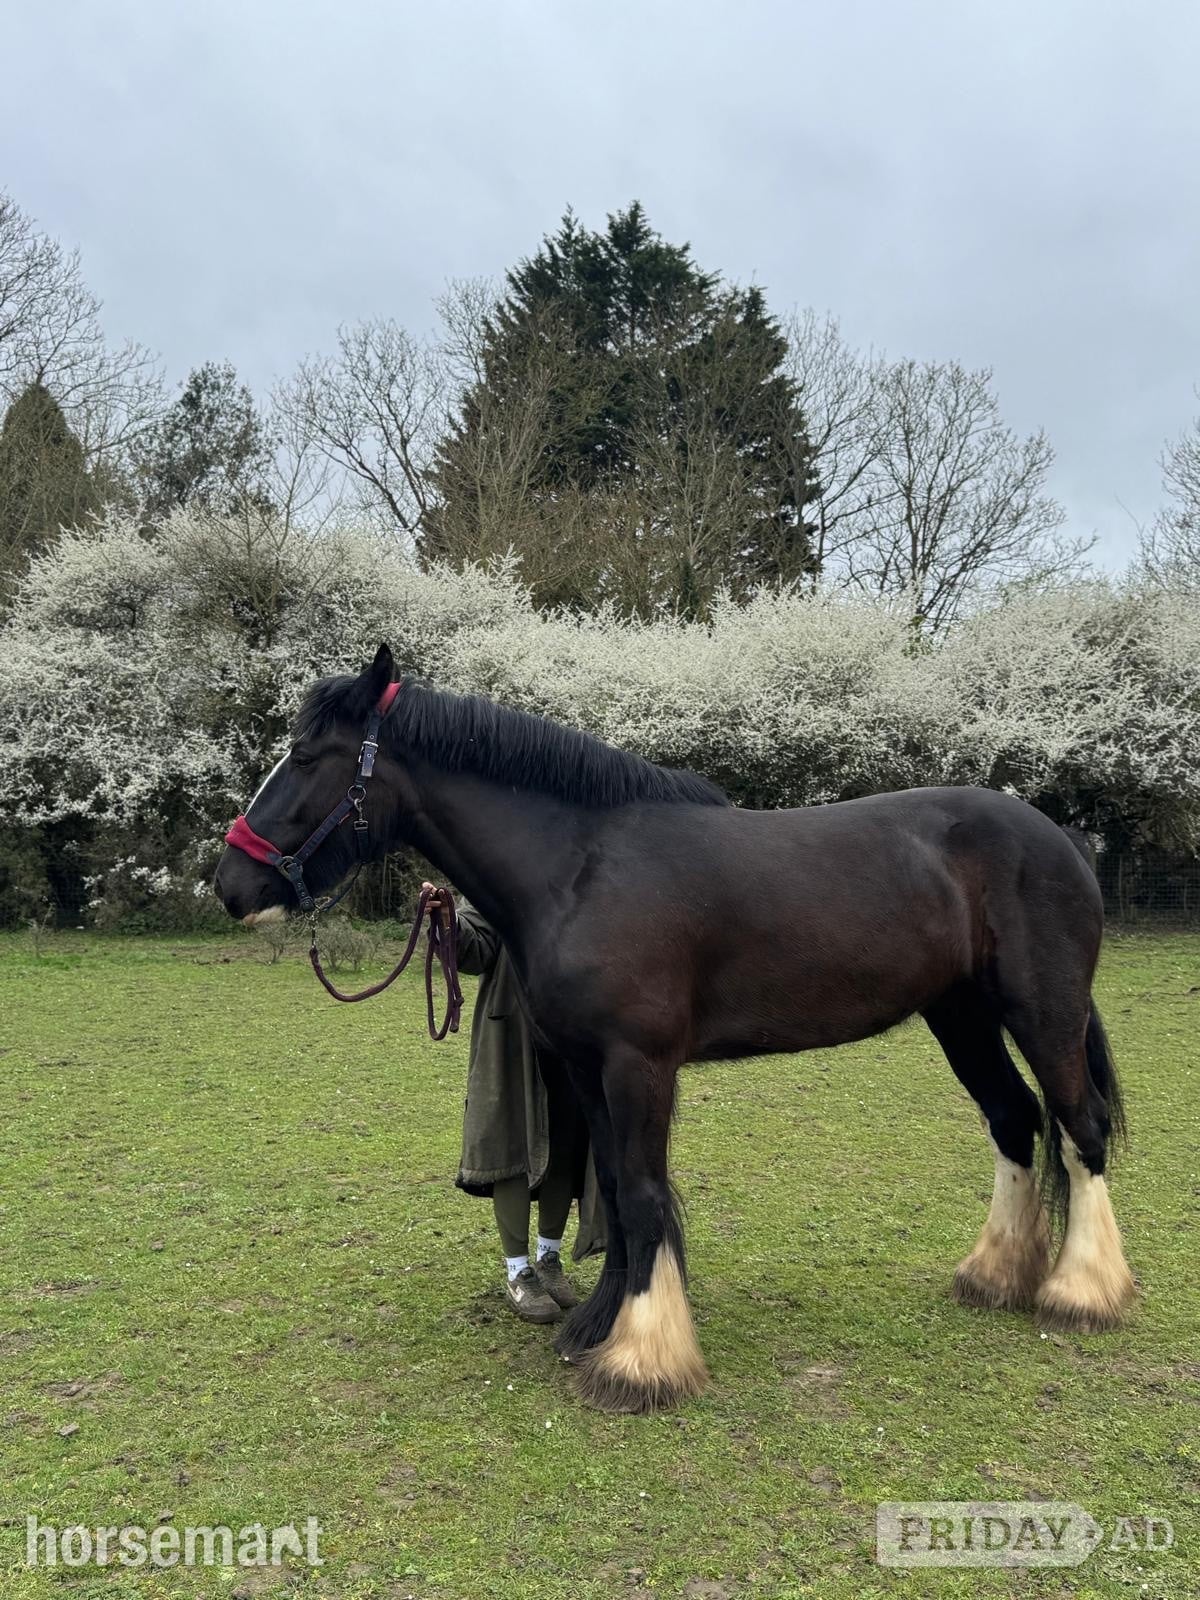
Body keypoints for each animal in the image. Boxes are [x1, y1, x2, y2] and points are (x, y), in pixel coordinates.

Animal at [213, 644, 1136, 1413]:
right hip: (960, 1017)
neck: (580, 868)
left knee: (1079, 1127)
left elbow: (645, 1194)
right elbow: (617, 1194)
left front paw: (642, 1360)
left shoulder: (639, 1065)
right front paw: (597, 1326)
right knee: (1016, 1121)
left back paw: (1082, 1292)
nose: (229, 884)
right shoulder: (586, 1069)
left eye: (305, 758)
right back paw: (994, 1276)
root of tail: (1059, 838)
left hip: (1042, 1013)